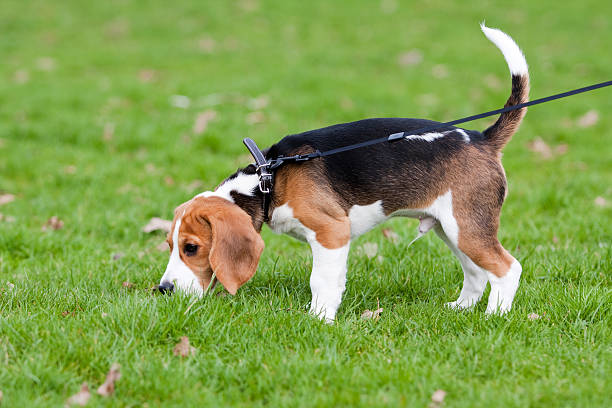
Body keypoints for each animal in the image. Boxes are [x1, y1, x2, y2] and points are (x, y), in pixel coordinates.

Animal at [158, 24, 532, 322]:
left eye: (191, 248)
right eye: (170, 245)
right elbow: (333, 281)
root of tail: (482, 138)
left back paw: (495, 316)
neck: (269, 181)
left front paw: (319, 319)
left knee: (507, 268)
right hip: (452, 229)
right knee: (476, 272)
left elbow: (320, 280)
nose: (163, 289)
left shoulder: (331, 232)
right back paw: (462, 308)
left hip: (466, 227)